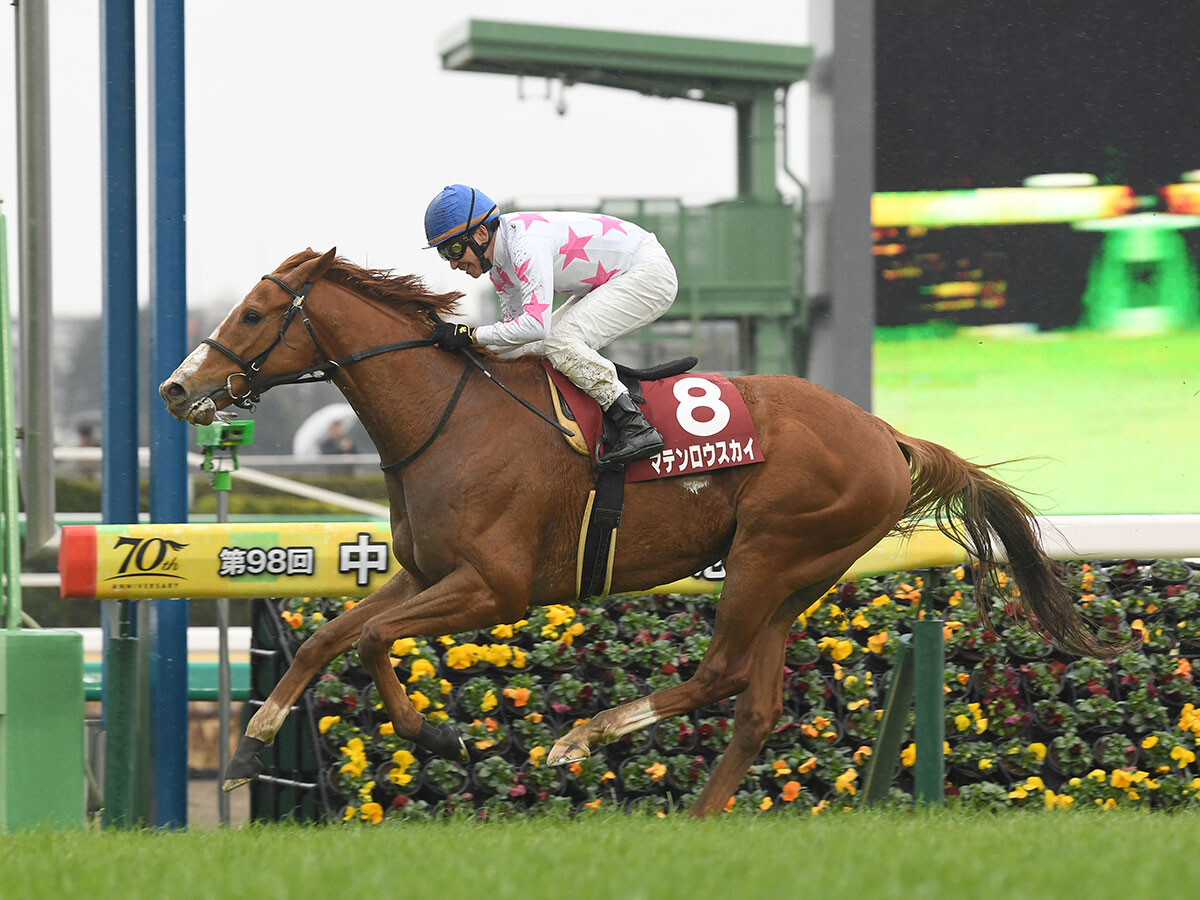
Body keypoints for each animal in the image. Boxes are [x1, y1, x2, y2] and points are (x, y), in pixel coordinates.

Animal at [160, 247, 1115, 816]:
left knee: (721, 674)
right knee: (756, 706)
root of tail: (888, 434)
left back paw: (583, 737)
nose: (177, 388)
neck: (454, 416)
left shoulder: (495, 587)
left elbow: (370, 642)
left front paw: (436, 734)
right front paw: (248, 749)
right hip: (798, 577)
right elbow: (331, 636)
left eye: (254, 314)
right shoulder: (424, 572)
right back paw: (696, 818)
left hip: (767, 555)